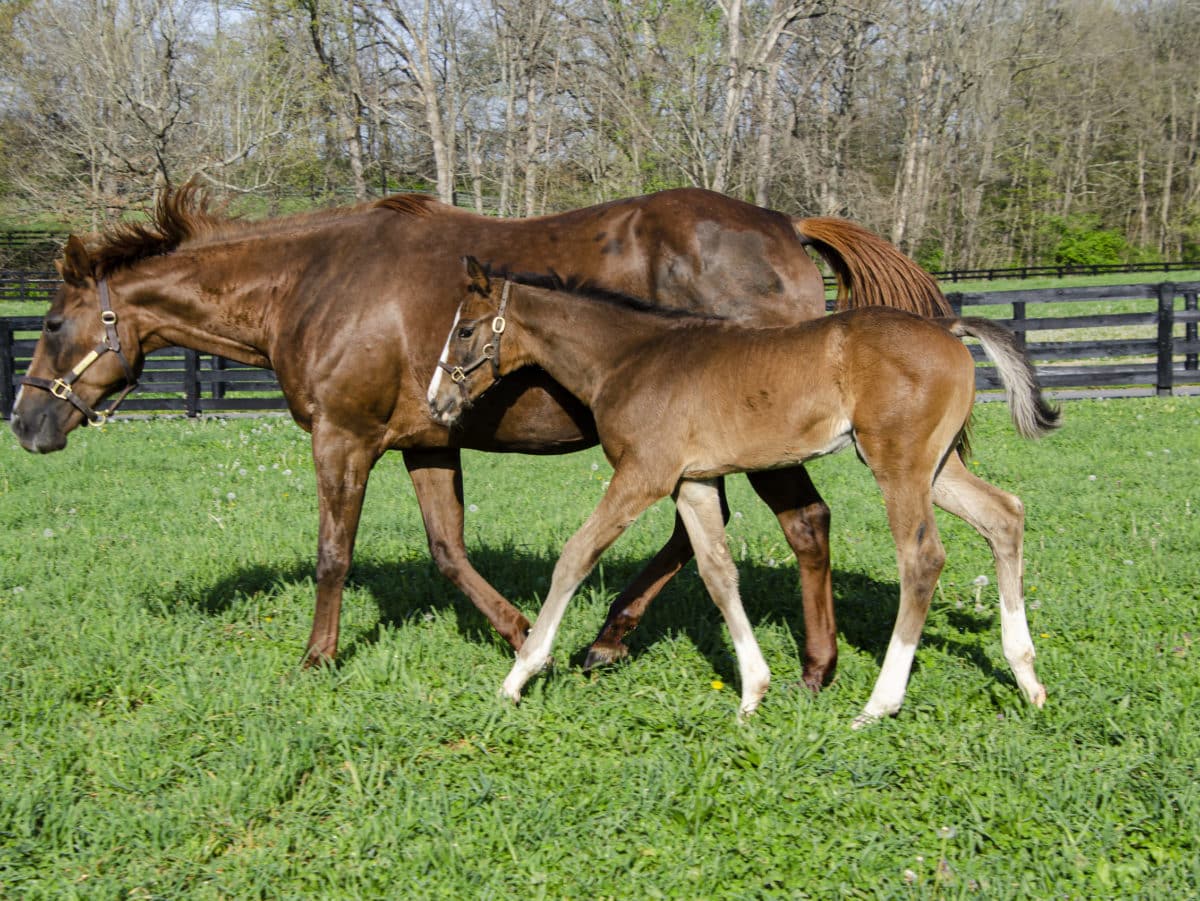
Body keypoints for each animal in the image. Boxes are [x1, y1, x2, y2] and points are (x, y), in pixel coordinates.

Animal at [9, 183, 945, 681]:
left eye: (50, 323)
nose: (25, 423)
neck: (314, 281)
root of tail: (787, 228)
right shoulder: (426, 442)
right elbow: (448, 551)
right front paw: (520, 633)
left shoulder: (343, 439)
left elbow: (332, 554)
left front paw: (317, 658)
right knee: (730, 530)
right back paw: (620, 638)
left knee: (798, 523)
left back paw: (804, 662)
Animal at [432, 260, 1060, 724]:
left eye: (465, 330)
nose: (437, 401)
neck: (631, 360)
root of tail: (946, 327)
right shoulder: (692, 481)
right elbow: (717, 572)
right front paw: (753, 691)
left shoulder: (643, 475)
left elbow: (575, 555)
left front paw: (520, 673)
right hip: (936, 466)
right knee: (1005, 515)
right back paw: (1027, 678)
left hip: (898, 466)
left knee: (922, 558)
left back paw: (879, 704)